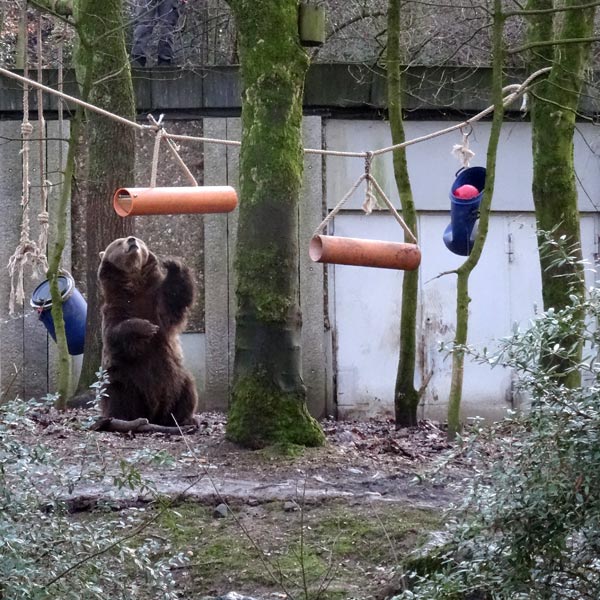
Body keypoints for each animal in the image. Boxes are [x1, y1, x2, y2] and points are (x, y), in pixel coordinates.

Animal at [97, 234, 198, 426]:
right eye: (118, 242)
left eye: (139, 240)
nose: (131, 239)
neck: (134, 283)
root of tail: (154, 414)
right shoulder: (116, 308)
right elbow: (115, 332)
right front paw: (147, 327)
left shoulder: (156, 300)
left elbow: (175, 298)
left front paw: (172, 263)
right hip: (124, 379)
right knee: (117, 395)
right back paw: (120, 419)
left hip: (177, 377)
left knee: (187, 390)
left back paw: (183, 419)